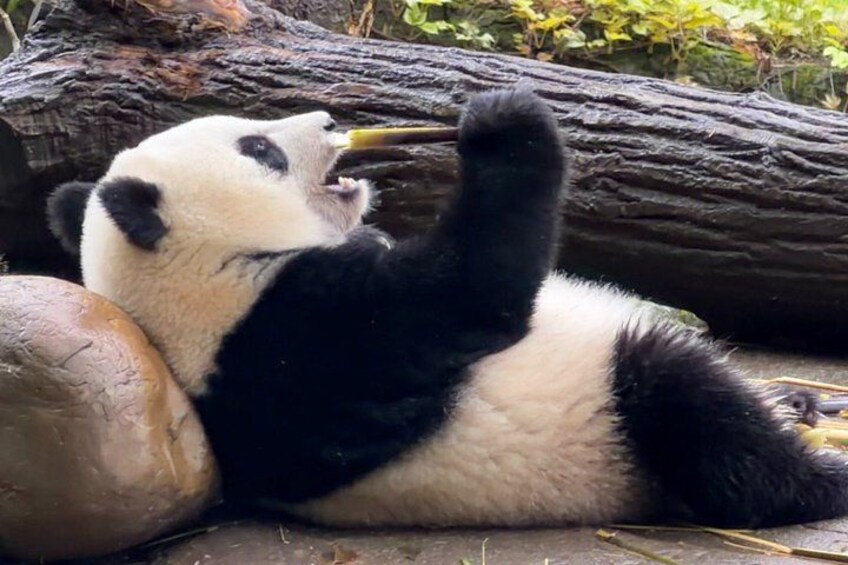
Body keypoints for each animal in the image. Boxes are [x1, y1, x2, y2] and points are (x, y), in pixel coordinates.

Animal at [47, 88, 848, 530]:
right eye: (259, 149)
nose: (331, 119)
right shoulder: (303, 340)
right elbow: (475, 292)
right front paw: (500, 122)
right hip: (615, 429)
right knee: (689, 404)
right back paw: (822, 473)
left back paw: (801, 403)